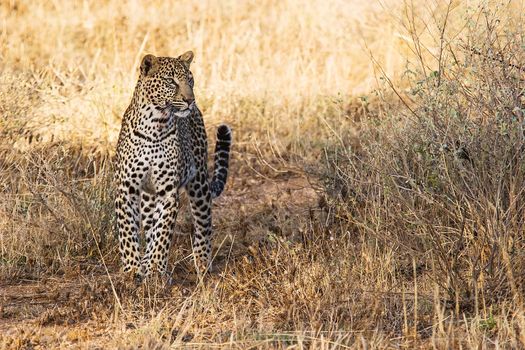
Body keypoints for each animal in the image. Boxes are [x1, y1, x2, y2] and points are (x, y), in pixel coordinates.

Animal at [114, 51, 231, 282]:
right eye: (171, 81)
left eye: (190, 80)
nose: (190, 100)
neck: (154, 123)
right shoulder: (126, 189)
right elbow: (128, 232)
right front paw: (132, 269)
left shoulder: (168, 192)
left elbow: (162, 234)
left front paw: (156, 269)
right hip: (148, 197)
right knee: (149, 226)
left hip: (199, 182)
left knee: (204, 223)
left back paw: (202, 262)